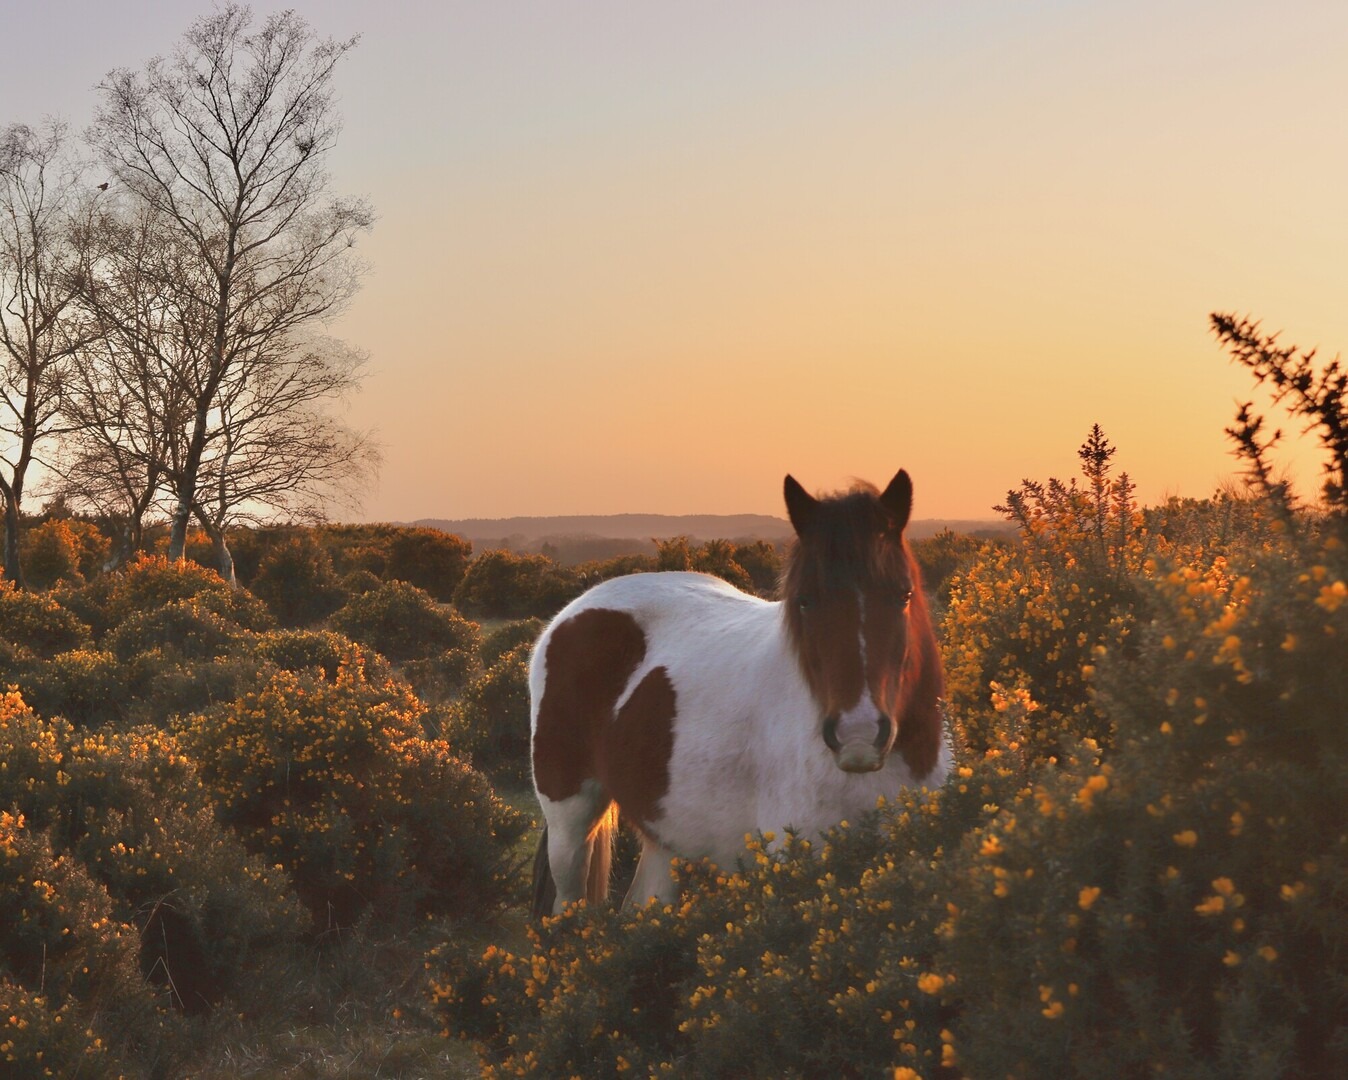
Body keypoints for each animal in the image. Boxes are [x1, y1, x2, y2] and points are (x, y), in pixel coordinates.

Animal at [528, 469, 950, 917]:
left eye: (903, 594)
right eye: (804, 601)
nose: (859, 736)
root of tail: (575, 611)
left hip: (664, 830)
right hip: (569, 822)